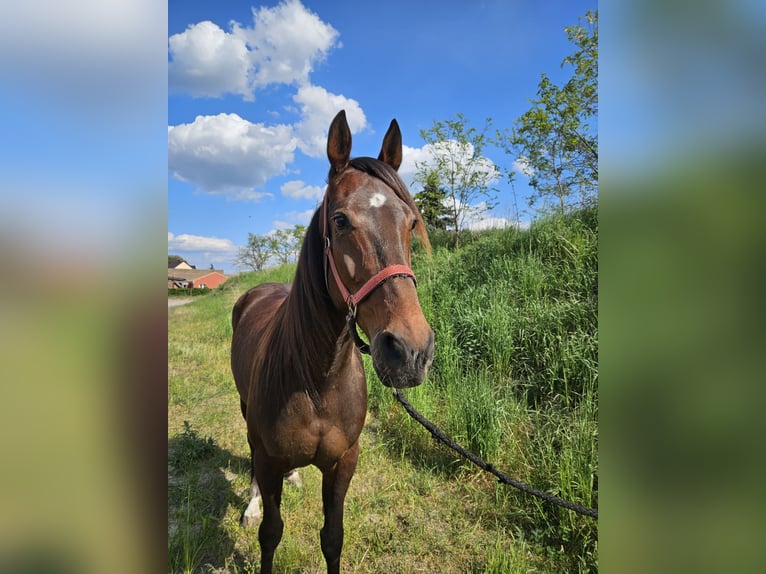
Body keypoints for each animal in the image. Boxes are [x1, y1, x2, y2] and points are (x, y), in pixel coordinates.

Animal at [231, 110, 436, 572]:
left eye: (411, 222)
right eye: (340, 220)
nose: (411, 351)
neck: (316, 379)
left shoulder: (344, 463)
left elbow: (333, 538)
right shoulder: (267, 458)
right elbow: (270, 534)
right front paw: (258, 514)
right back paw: (251, 504)